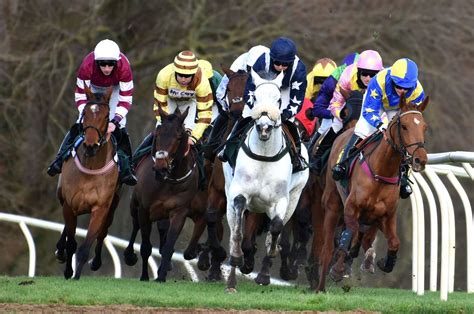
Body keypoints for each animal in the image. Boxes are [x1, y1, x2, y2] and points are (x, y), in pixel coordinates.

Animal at [54, 85, 121, 280]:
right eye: (85, 113)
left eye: (106, 116)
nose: (90, 145)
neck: (91, 165)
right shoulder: (69, 204)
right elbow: (71, 242)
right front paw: (68, 271)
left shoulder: (100, 208)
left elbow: (86, 246)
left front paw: (76, 276)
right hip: (62, 197)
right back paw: (60, 251)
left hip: (113, 205)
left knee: (103, 231)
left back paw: (96, 261)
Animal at [123, 106, 206, 280]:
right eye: (158, 133)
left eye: (179, 136)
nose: (161, 166)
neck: (168, 180)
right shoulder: (144, 208)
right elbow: (145, 246)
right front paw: (144, 277)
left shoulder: (179, 211)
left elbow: (169, 244)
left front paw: (161, 276)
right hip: (134, 204)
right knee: (135, 225)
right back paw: (129, 255)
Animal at [223, 69, 310, 292]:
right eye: (254, 98)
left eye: (278, 99)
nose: (264, 128)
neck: (264, 155)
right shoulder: (239, 193)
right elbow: (237, 232)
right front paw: (234, 273)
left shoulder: (281, 200)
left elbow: (276, 229)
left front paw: (263, 274)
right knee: (234, 228)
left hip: (293, 198)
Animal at [314, 93, 430, 292]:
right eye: (404, 126)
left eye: (424, 127)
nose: (420, 160)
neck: (382, 171)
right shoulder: (351, 208)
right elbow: (349, 235)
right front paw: (337, 269)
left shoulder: (385, 216)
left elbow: (394, 242)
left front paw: (385, 262)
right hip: (333, 204)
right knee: (328, 248)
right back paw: (321, 285)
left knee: (364, 238)